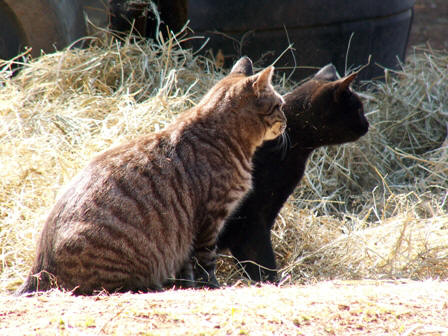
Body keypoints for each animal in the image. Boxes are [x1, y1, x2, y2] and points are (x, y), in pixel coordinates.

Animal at [17, 55, 286, 294]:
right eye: (279, 106)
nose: (285, 120)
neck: (224, 136)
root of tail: (38, 268)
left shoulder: (189, 235)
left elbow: (188, 267)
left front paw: (188, 286)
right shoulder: (210, 220)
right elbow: (206, 262)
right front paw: (212, 286)